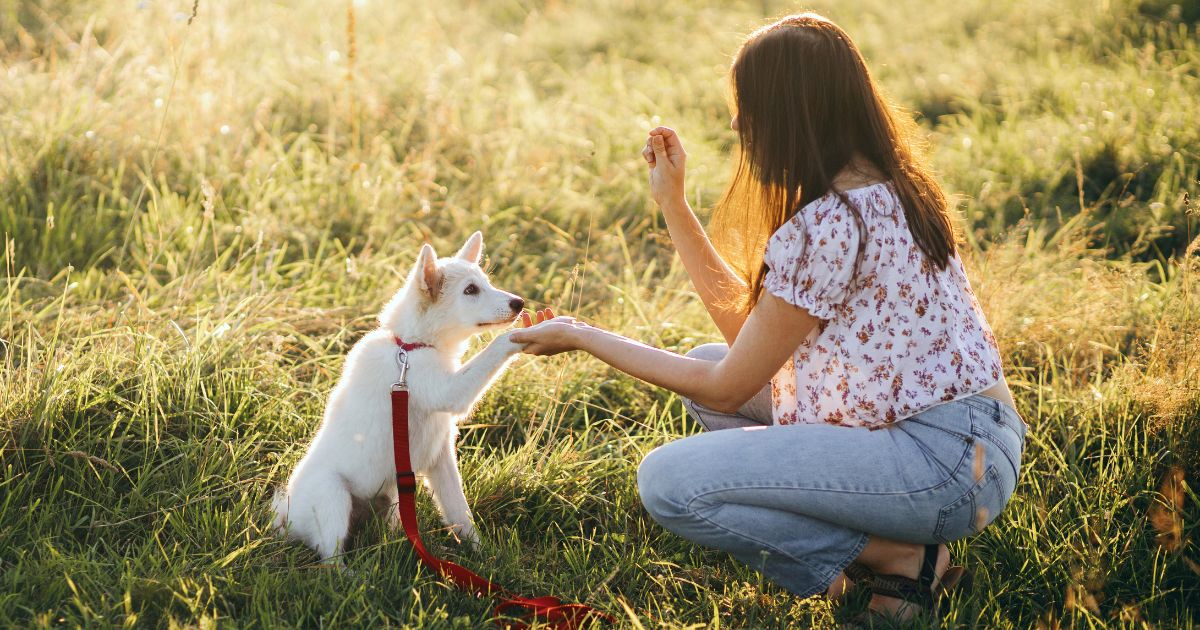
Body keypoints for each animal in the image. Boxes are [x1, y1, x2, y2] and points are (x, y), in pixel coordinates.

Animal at [277, 230, 530, 559]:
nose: (519, 303)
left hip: (394, 495)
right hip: (334, 496)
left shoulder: (441, 457)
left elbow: (459, 511)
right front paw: (530, 333)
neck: (410, 346)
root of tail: (287, 519)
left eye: (485, 283)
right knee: (331, 555)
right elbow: (495, 348)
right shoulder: (449, 391)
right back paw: (350, 570)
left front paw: (484, 555)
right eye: (471, 290)